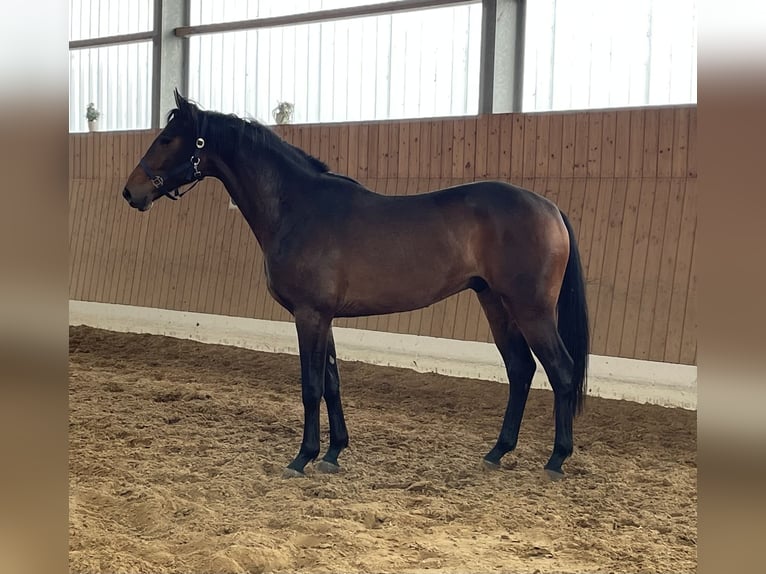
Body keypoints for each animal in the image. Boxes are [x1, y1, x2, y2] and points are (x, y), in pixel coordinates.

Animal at [122, 90, 589, 480]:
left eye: (167, 139)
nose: (131, 192)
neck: (298, 208)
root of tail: (550, 207)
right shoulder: (324, 317)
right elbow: (332, 383)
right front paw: (333, 454)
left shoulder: (309, 316)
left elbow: (311, 386)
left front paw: (302, 458)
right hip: (495, 303)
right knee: (520, 368)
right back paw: (497, 452)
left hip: (530, 308)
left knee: (561, 370)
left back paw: (556, 460)